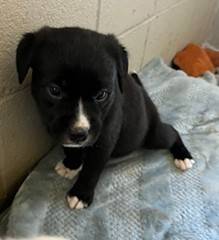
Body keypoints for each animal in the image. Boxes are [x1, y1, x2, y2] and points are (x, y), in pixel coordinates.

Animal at [16, 26, 194, 209]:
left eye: (101, 95)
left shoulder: (104, 139)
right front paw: (71, 165)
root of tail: (146, 95)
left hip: (153, 136)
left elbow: (92, 168)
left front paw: (80, 194)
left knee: (172, 131)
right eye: (54, 90)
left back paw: (183, 157)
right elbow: (71, 149)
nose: (79, 134)